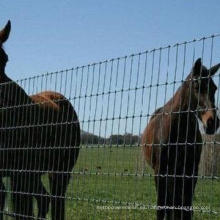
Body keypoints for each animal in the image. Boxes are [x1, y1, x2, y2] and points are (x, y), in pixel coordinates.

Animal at [0, 19, 80, 219]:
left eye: (5, 59)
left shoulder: (19, 175)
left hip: (58, 172)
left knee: (56, 203)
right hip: (34, 175)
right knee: (44, 199)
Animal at [142, 58, 219, 220]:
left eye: (215, 88)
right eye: (196, 86)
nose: (212, 122)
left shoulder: (190, 172)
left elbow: (185, 207)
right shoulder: (160, 171)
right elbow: (162, 207)